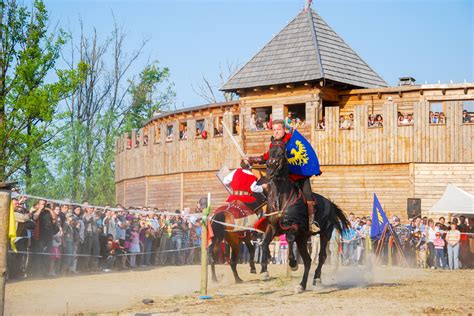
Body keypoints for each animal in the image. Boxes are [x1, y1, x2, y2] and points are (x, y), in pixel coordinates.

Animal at [260, 139, 348, 292]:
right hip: (302, 239)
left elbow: (289, 239)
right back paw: (302, 285)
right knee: (307, 261)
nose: (270, 170)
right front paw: (264, 270)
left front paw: (293, 263)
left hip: (325, 233)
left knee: (322, 256)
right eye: (269, 152)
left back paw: (317, 278)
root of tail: (330, 204)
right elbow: (264, 243)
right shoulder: (272, 227)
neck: (281, 198)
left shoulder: (294, 226)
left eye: (281, 153)